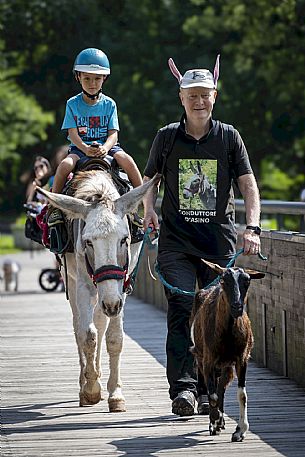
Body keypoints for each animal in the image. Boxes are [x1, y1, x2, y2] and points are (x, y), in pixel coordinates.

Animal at [190, 260, 264, 442]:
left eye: (247, 281)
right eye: (224, 280)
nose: (237, 306)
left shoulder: (241, 358)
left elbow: (241, 394)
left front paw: (240, 431)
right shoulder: (208, 360)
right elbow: (212, 396)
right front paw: (214, 422)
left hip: (226, 365)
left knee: (221, 387)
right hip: (201, 357)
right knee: (214, 390)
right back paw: (215, 422)